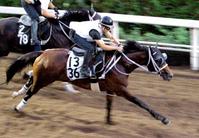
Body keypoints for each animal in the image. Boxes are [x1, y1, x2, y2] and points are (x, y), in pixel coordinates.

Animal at [6, 40, 173, 125]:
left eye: (164, 57)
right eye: (159, 59)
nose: (169, 75)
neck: (121, 63)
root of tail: (44, 52)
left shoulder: (111, 89)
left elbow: (109, 104)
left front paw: (109, 121)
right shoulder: (121, 89)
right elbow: (140, 102)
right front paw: (163, 119)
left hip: (41, 76)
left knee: (29, 82)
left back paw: (15, 94)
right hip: (45, 79)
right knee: (30, 92)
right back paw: (18, 107)